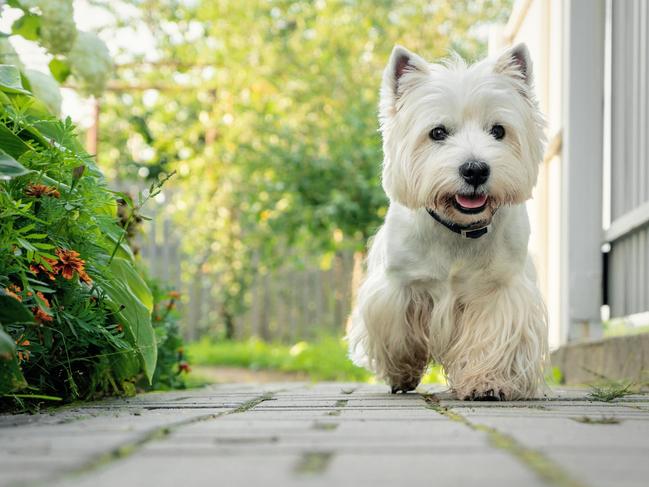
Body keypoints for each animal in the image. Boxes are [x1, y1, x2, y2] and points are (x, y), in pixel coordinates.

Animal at [344, 43, 548, 400]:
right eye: (437, 132)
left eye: (498, 130)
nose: (475, 170)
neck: (459, 229)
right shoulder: (398, 287)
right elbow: (399, 334)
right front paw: (402, 371)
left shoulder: (500, 289)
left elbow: (493, 337)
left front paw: (487, 382)